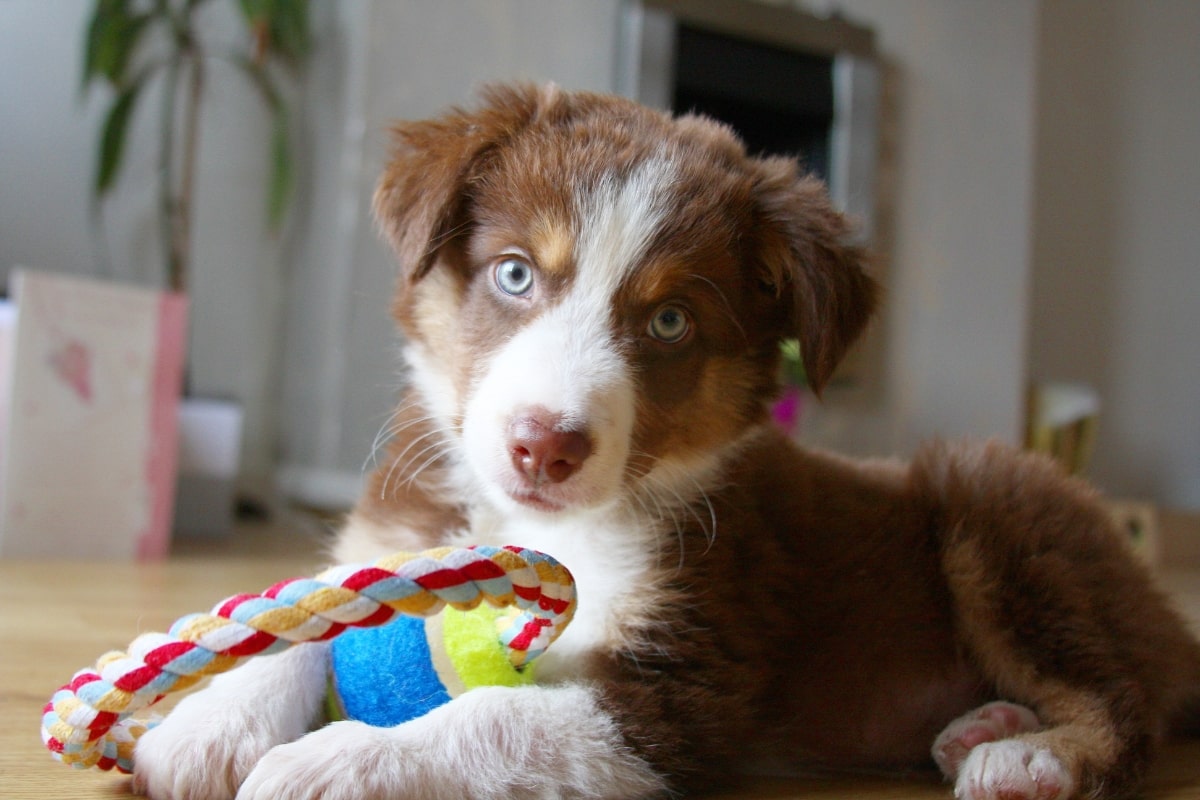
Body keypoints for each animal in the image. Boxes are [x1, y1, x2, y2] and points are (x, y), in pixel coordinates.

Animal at [131, 84, 1200, 796]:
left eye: (672, 322)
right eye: (515, 274)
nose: (544, 447)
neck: (550, 525)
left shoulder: (684, 684)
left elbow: (498, 715)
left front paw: (342, 760)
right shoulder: (397, 543)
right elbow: (303, 618)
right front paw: (209, 719)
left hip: (998, 505)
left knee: (1123, 703)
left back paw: (1032, 753)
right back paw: (982, 722)